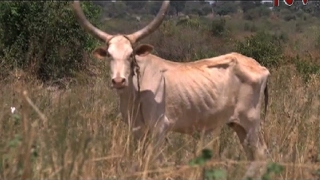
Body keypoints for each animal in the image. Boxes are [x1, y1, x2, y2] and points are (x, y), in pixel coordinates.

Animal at [72, 0, 270, 177]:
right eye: (109, 55)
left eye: (131, 55)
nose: (118, 81)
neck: (135, 93)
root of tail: (259, 66)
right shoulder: (136, 130)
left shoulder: (159, 128)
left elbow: (156, 162)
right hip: (238, 126)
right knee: (252, 156)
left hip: (251, 122)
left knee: (261, 155)